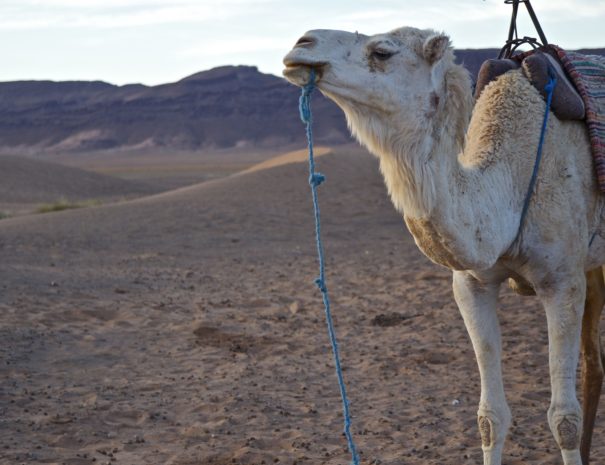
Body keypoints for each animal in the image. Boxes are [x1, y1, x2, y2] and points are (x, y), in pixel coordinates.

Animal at [284, 26, 604, 464]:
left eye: (382, 51)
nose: (301, 44)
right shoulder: (471, 283)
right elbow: (490, 417)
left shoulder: (563, 281)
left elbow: (563, 419)